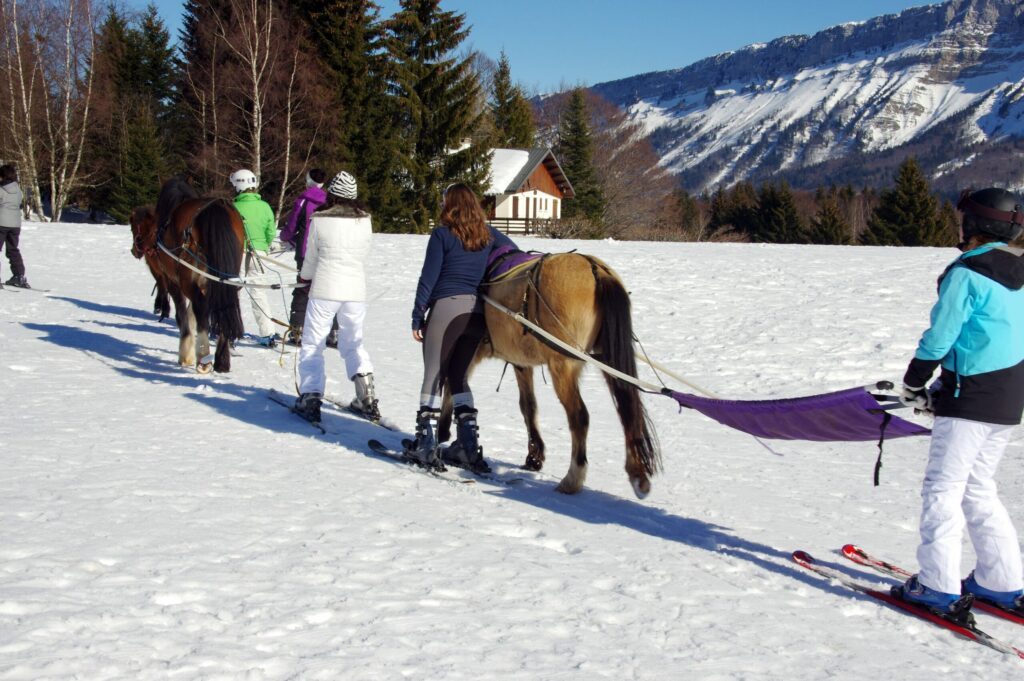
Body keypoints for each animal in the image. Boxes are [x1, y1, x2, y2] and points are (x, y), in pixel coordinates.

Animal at [130, 178, 245, 372]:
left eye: (133, 228)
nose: (134, 250)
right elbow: (192, 314)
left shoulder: (173, 281)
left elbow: (183, 315)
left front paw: (186, 354)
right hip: (225, 278)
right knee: (222, 306)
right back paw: (221, 360)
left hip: (185, 279)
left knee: (201, 308)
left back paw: (204, 359)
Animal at [444, 251, 659, 497]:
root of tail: (594, 268)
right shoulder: (521, 364)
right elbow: (528, 406)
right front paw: (534, 455)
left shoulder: (471, 351)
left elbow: (452, 386)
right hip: (607, 358)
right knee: (628, 409)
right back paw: (637, 473)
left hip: (563, 366)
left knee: (580, 417)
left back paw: (573, 478)